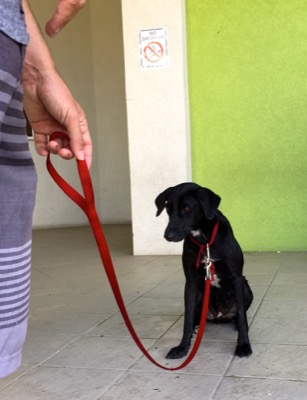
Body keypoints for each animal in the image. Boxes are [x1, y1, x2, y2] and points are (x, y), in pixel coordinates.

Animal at [155, 183, 254, 358]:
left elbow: (242, 316)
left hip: (246, 287)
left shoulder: (236, 277)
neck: (205, 241)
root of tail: (218, 317)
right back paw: (197, 326)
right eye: (168, 209)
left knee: (239, 314)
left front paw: (243, 345)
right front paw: (183, 347)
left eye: (186, 209)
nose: (168, 236)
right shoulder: (191, 282)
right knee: (195, 317)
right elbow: (187, 319)